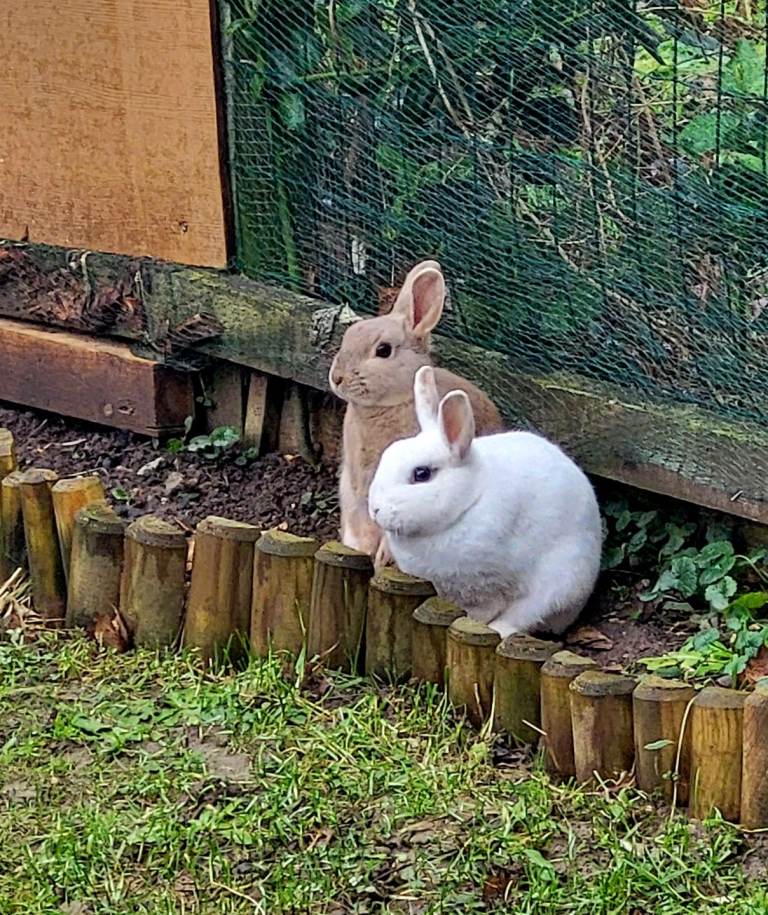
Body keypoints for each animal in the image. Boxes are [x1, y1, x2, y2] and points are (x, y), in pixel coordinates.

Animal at [328, 260, 502, 567]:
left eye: (383, 350)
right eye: (348, 336)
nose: (337, 378)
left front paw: (383, 559)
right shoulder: (355, 485)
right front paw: (360, 549)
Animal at [368, 365, 603, 636]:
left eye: (422, 474)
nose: (375, 509)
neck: (468, 503)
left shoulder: (488, 584)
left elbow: (486, 608)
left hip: (560, 580)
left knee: (525, 616)